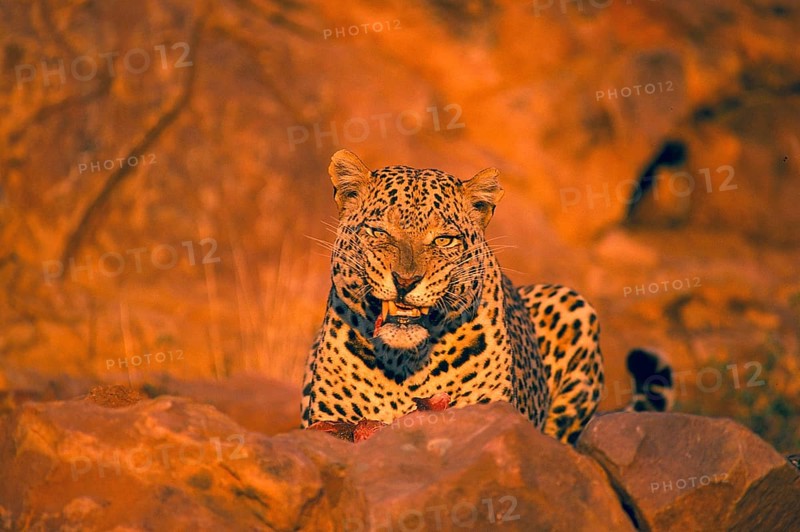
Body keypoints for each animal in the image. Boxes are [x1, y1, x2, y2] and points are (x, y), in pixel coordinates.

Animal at [301, 149, 673, 444]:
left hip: (572, 304)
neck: (403, 361)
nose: (406, 281)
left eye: (444, 240)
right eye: (378, 232)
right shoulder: (328, 421)